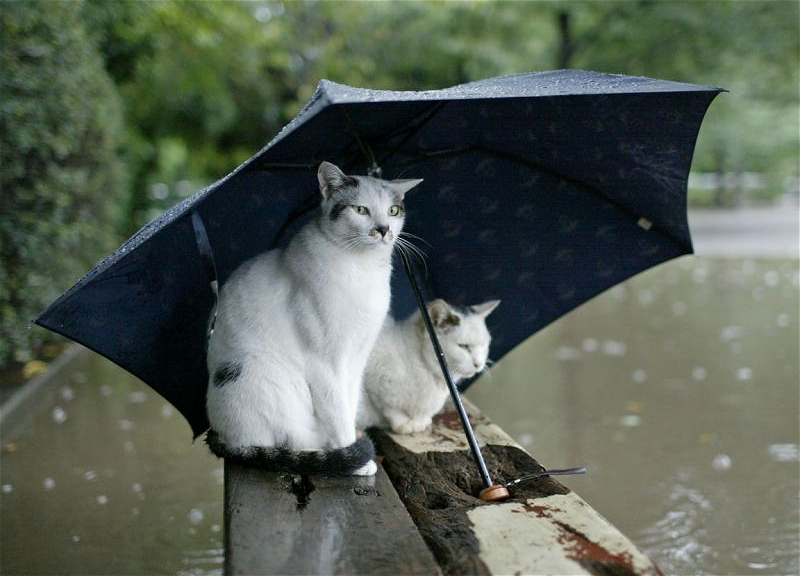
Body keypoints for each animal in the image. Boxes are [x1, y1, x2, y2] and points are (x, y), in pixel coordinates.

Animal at [203, 160, 422, 474]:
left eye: (393, 211)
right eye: (360, 210)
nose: (383, 230)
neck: (363, 268)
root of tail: (221, 434)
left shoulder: (357, 359)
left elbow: (349, 403)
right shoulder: (324, 363)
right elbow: (337, 412)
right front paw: (354, 458)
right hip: (263, 373)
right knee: (292, 442)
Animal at [358, 300, 496, 434]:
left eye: (485, 345)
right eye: (463, 346)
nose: (479, 364)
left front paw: (420, 422)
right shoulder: (373, 376)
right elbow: (389, 407)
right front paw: (403, 424)